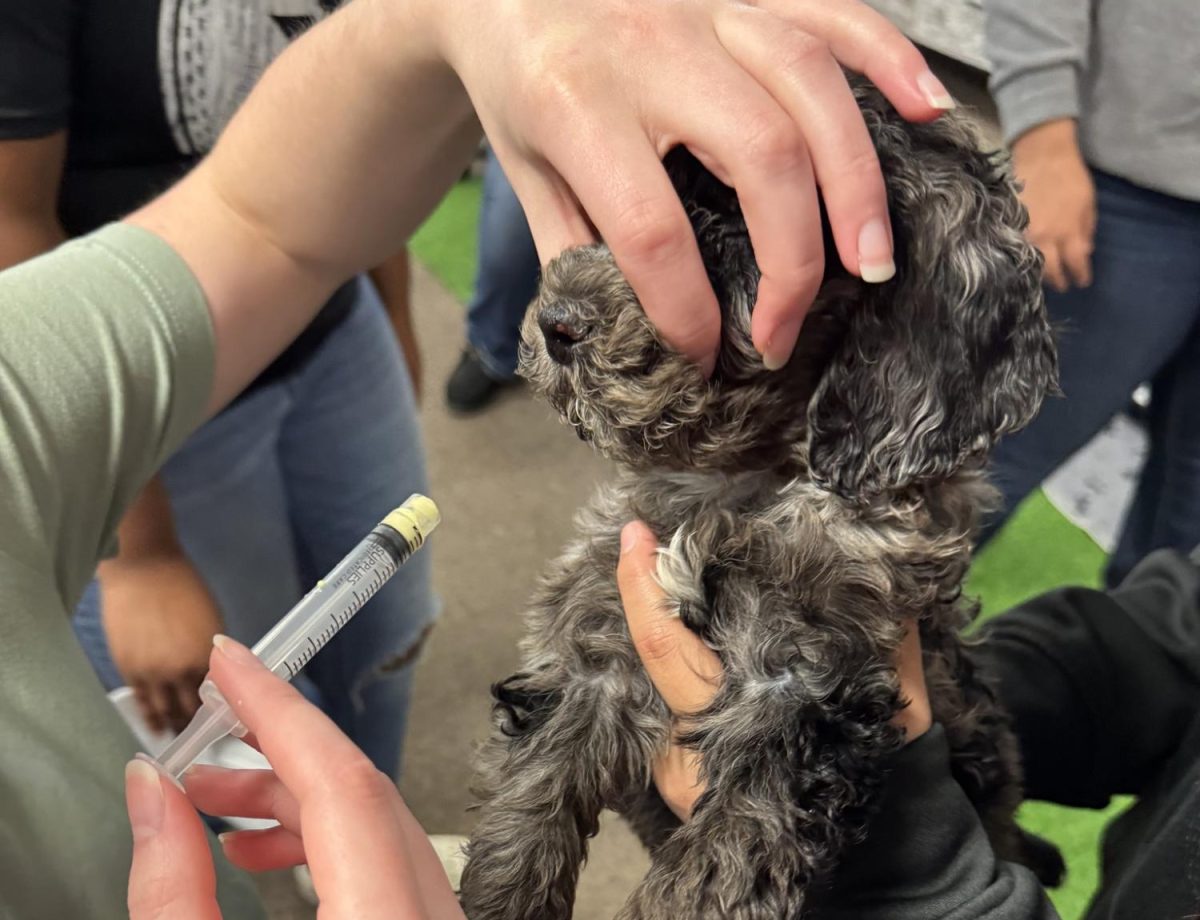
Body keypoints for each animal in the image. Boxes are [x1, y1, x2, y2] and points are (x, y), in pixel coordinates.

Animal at [458, 80, 1060, 920]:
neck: (746, 480)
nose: (557, 322)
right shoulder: (603, 635)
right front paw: (500, 885)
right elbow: (544, 771)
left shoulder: (804, 677)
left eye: (739, 226)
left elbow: (731, 846)